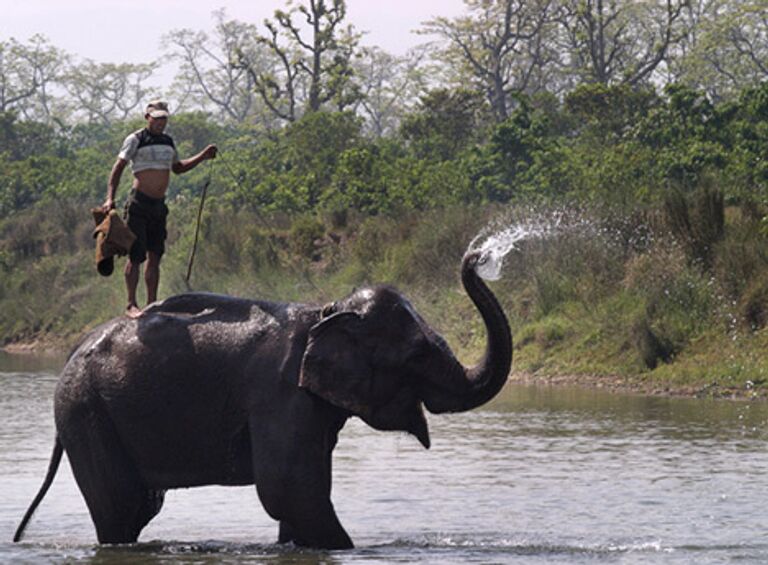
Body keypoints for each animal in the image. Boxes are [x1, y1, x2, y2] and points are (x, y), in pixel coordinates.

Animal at [15, 249, 510, 548]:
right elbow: (290, 489)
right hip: (85, 410)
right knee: (123, 508)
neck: (326, 312)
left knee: (138, 507)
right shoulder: (278, 395)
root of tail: (71, 354)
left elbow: (299, 495)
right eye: (417, 355)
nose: (478, 255)